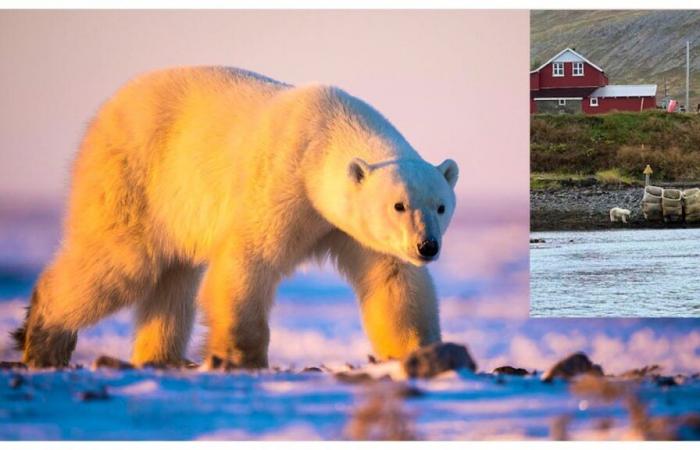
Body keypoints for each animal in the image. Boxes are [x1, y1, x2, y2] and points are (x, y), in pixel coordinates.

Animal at [12, 67, 460, 370]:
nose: (427, 246)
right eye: (399, 205)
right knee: (123, 261)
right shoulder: (282, 181)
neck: (323, 135)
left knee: (173, 280)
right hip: (132, 175)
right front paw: (240, 358)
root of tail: (108, 108)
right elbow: (249, 261)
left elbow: (393, 279)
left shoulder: (349, 227)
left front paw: (421, 351)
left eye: (440, 206)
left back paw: (161, 357)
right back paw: (44, 337)